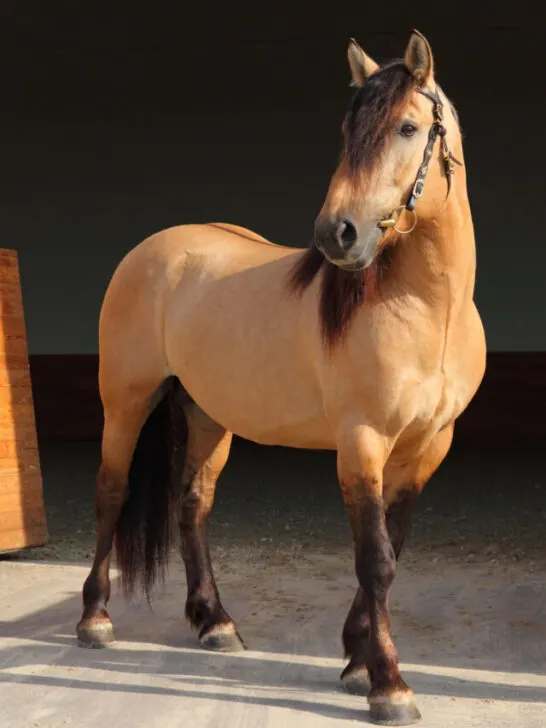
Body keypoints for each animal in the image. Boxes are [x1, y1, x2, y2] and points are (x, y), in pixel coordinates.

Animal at [76, 30, 486, 726]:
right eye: (348, 129)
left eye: (408, 127)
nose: (337, 234)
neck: (430, 311)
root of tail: (153, 249)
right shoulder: (362, 442)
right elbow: (375, 561)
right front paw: (388, 685)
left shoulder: (428, 447)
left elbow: (392, 550)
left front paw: (355, 659)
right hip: (126, 400)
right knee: (112, 491)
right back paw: (95, 620)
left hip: (208, 415)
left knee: (193, 504)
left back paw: (215, 622)